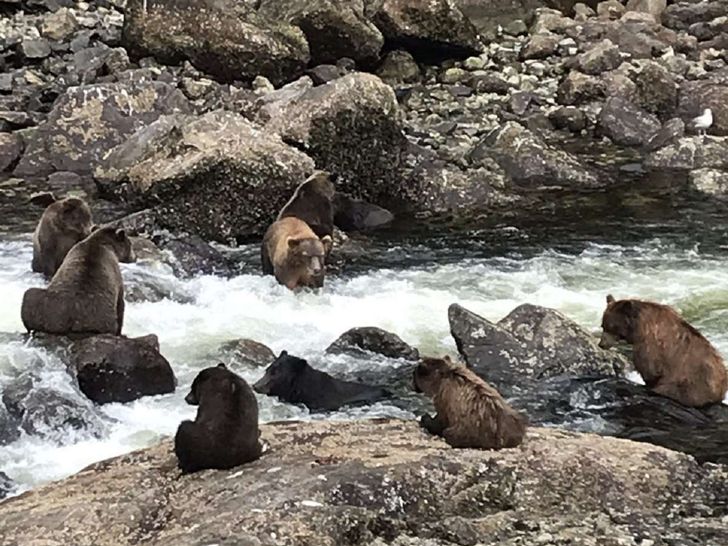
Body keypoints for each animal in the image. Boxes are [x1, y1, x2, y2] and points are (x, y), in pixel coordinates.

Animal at [596, 294, 728, 404]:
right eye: (603, 325)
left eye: (611, 326)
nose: (601, 344)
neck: (638, 327)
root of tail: (721, 390)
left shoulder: (650, 343)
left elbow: (648, 367)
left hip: (691, 384)